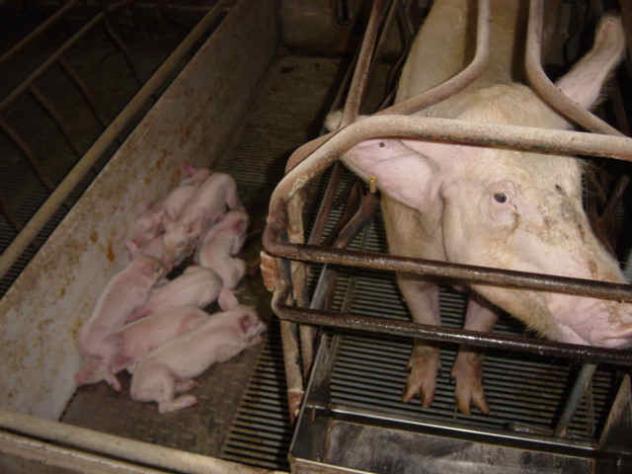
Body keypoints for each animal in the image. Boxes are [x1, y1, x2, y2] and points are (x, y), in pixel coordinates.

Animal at [75, 255, 166, 390]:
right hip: (109, 347)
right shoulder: (140, 297)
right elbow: (146, 298)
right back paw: (117, 386)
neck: (134, 274)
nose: (165, 266)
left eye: (155, 258)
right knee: (105, 367)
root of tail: (85, 346)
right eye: (157, 269)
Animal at [130, 306, 265, 413]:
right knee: (163, 407)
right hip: (161, 375)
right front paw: (258, 340)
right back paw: (191, 400)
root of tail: (134, 391)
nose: (265, 324)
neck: (227, 323)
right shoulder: (223, 351)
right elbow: (239, 347)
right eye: (256, 322)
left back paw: (190, 384)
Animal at [333, 1, 628, 415]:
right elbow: (424, 323)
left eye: (575, 180)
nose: (626, 320)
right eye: (500, 197)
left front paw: (471, 407)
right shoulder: (404, 257)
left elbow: (477, 330)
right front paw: (417, 398)